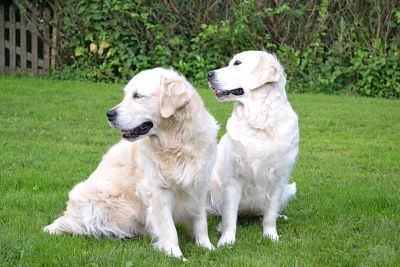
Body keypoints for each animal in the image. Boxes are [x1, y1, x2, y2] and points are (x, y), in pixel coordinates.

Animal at [43, 67, 219, 260]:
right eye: (126, 95)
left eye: (137, 96)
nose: (109, 114)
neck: (178, 142)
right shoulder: (158, 191)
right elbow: (168, 228)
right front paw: (175, 254)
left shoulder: (199, 185)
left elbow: (200, 221)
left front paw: (207, 246)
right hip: (97, 205)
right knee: (73, 226)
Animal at [208, 50, 298, 247]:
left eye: (237, 63)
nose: (209, 74)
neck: (259, 122)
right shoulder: (233, 179)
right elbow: (230, 217)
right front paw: (226, 240)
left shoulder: (278, 180)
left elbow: (270, 215)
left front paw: (271, 236)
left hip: (286, 188)